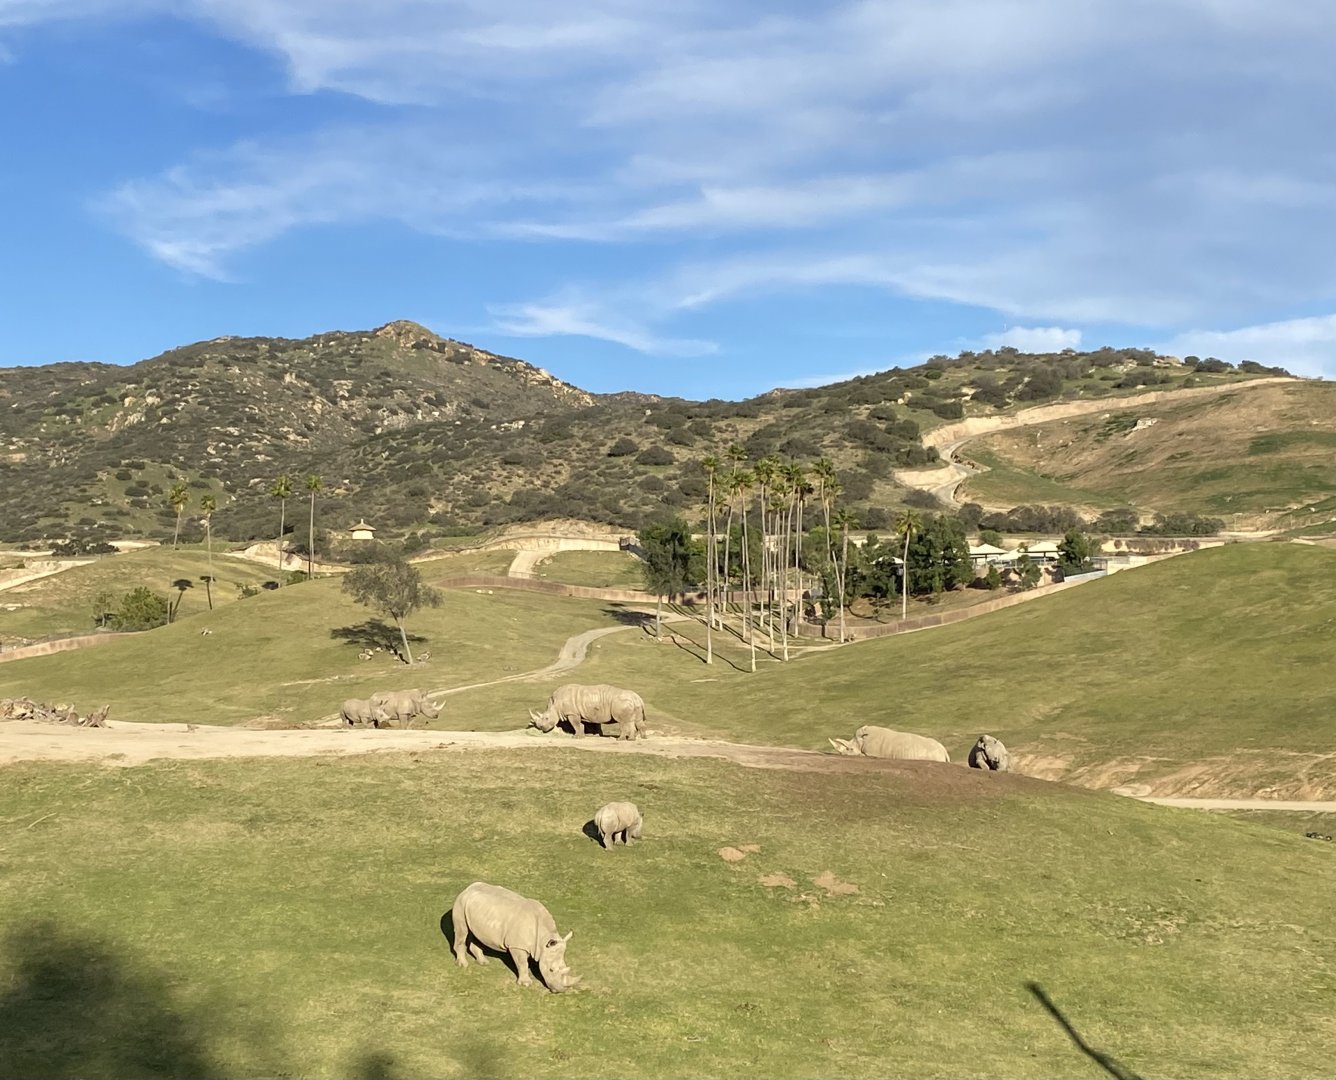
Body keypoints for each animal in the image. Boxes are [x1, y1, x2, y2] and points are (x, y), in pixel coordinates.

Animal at [449, 882, 581, 993]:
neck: (543, 939)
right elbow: (522, 963)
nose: (560, 991)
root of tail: (468, 888)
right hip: (460, 903)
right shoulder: (517, 946)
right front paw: (526, 984)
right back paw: (463, 964)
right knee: (462, 931)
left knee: (476, 933)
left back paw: (483, 962)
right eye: (551, 970)